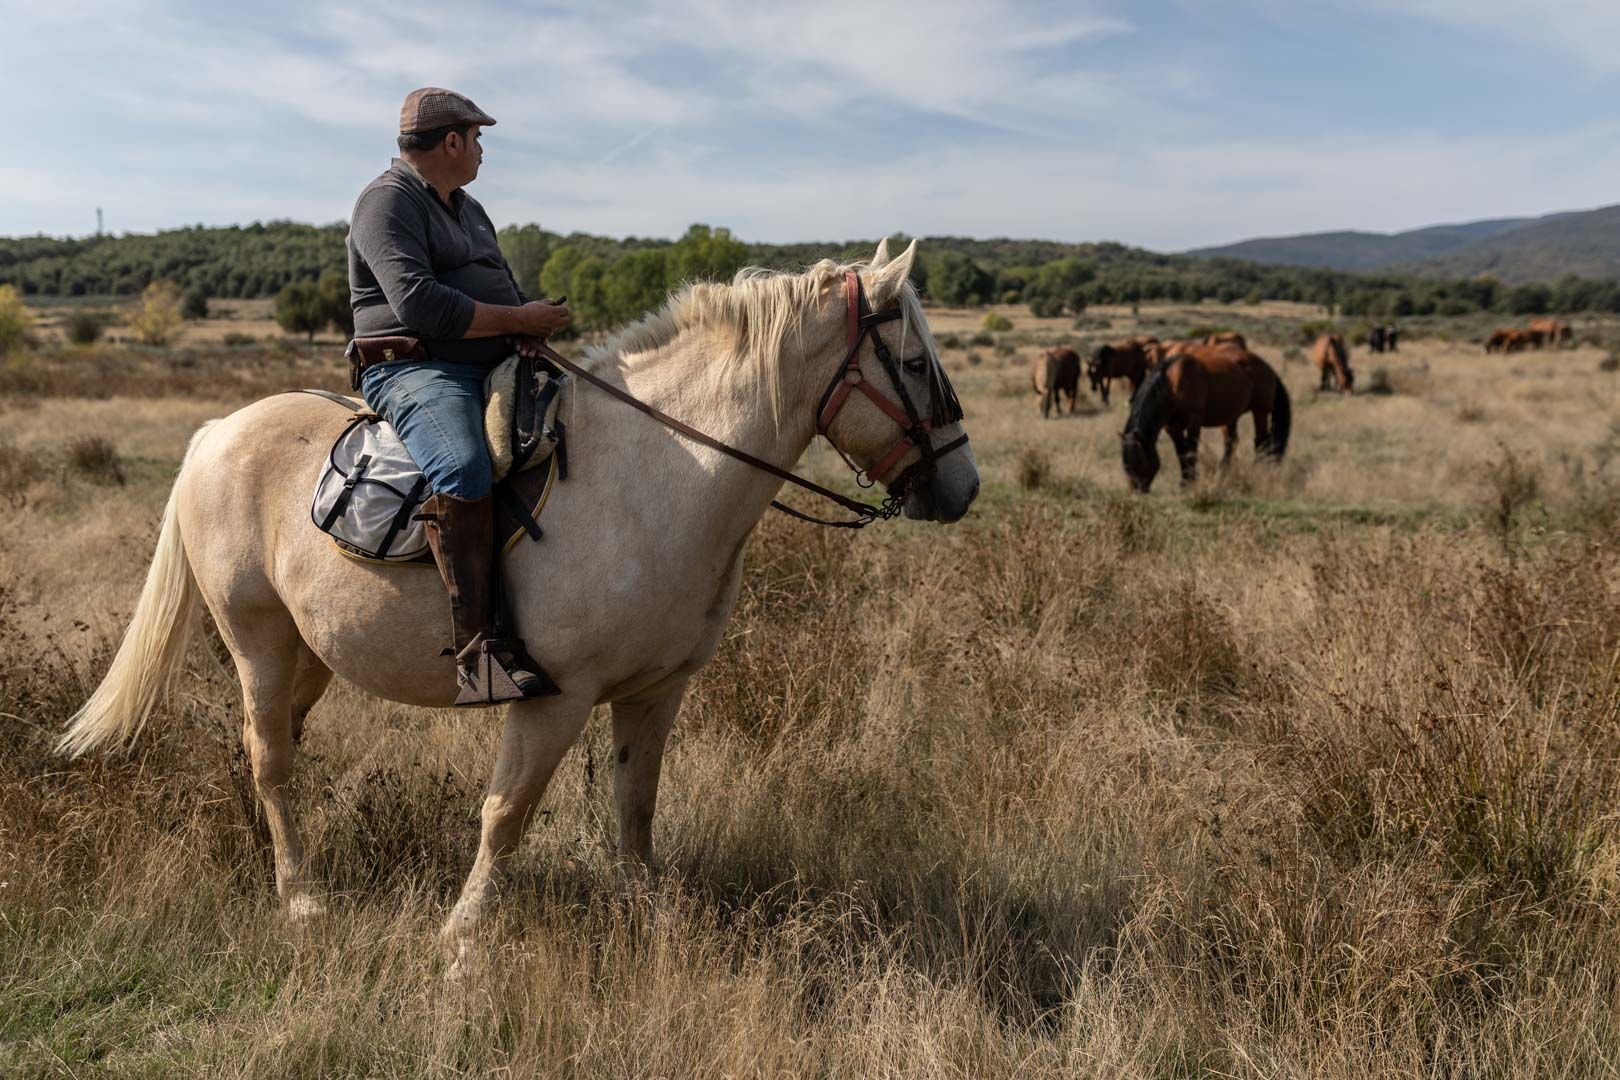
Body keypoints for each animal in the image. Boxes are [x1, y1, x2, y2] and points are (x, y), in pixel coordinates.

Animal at [59, 241, 972, 965]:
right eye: (915, 365)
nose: (962, 487)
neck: (662, 474)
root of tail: (217, 433)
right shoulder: (552, 699)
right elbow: (506, 814)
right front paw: (463, 938)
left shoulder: (656, 692)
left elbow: (636, 807)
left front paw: (652, 920)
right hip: (259, 640)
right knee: (271, 758)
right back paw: (303, 897)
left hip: (312, 654)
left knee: (273, 745)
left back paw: (278, 860)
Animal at [1121, 344, 1296, 492]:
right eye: (1125, 466)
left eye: (1139, 461)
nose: (1136, 491)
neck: (1172, 384)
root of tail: (1267, 368)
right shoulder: (1172, 427)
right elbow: (1181, 452)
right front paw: (1184, 481)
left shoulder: (1194, 422)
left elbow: (1191, 451)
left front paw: (1189, 482)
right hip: (1231, 417)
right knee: (1231, 443)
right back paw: (1223, 474)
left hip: (1260, 412)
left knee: (1261, 442)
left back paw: (1257, 471)